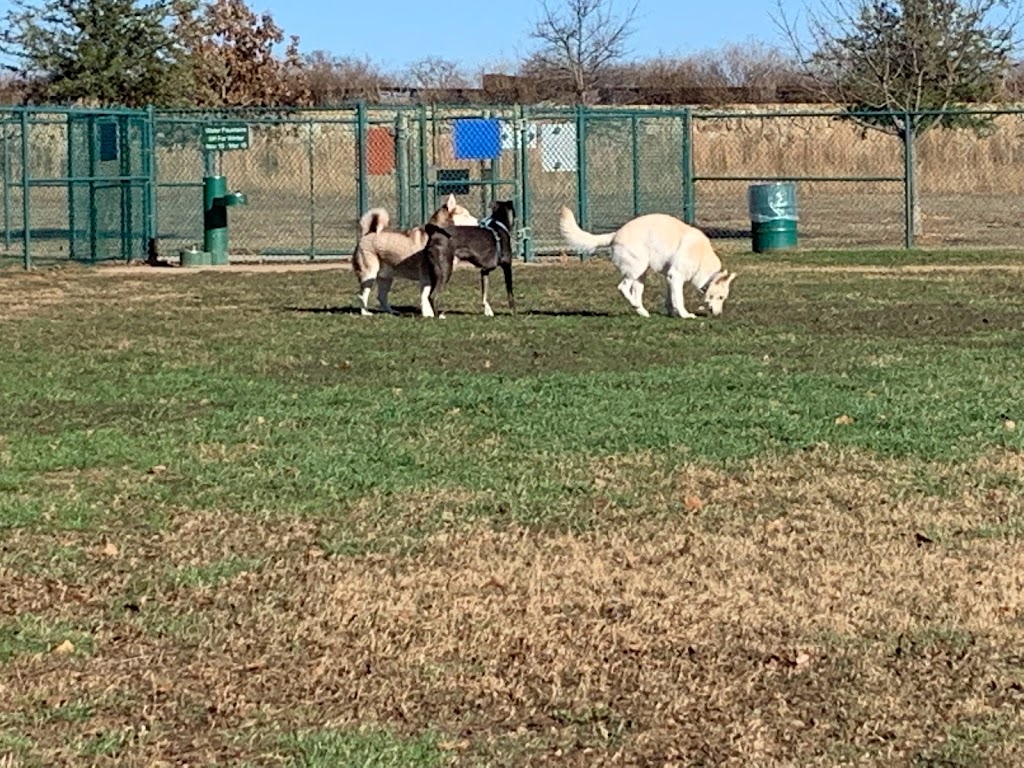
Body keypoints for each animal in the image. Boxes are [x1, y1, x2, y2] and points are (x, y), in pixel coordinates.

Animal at [561, 207, 737, 319]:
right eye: (720, 297)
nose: (718, 315)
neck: (701, 257)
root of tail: (616, 233)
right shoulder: (676, 276)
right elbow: (679, 299)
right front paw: (685, 315)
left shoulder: (670, 278)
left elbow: (671, 298)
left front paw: (672, 313)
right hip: (636, 269)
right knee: (623, 288)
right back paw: (635, 306)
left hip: (641, 275)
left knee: (635, 293)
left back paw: (643, 312)